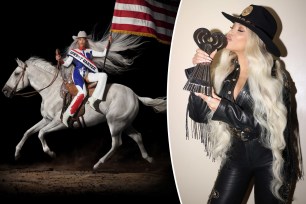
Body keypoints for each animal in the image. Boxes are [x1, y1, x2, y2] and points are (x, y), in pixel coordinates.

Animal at [2, 56, 166, 170]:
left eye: (16, 73)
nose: (5, 91)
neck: (52, 92)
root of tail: (134, 95)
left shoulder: (59, 122)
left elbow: (41, 134)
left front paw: (50, 153)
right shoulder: (47, 120)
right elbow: (28, 132)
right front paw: (17, 153)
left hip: (115, 124)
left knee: (116, 143)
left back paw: (98, 164)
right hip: (125, 124)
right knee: (137, 136)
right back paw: (149, 158)